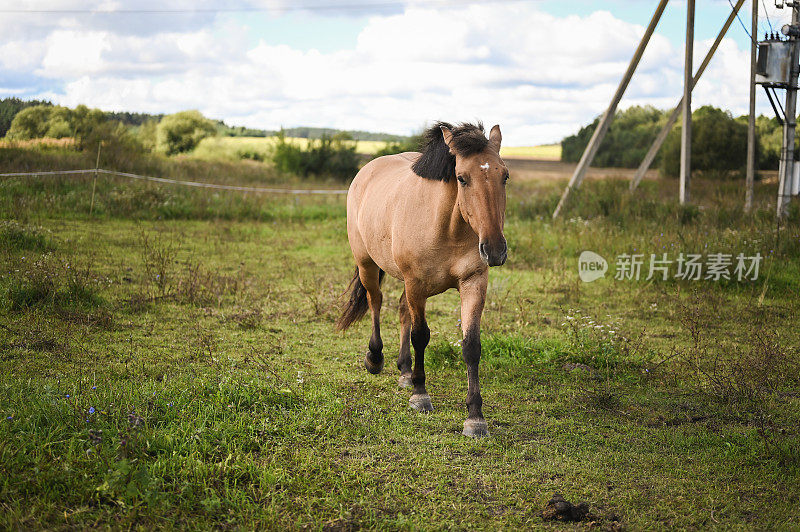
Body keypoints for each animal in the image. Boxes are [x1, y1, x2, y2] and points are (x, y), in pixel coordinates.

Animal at [336, 122, 506, 438]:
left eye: (505, 176)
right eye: (462, 178)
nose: (495, 250)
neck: (446, 226)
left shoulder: (473, 283)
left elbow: (471, 345)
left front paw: (475, 416)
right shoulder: (415, 284)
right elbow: (420, 336)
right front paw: (420, 395)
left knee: (403, 311)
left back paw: (405, 371)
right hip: (368, 265)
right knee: (375, 302)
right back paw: (375, 358)